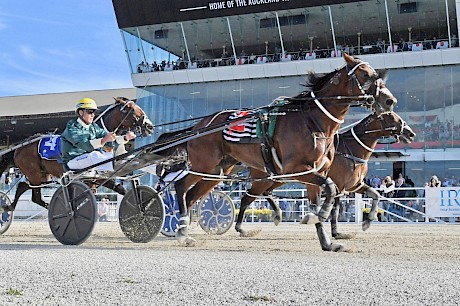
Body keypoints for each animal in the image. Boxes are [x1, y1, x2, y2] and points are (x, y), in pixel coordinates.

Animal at [0, 97, 155, 212]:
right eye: (133, 109)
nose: (150, 126)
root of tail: (19, 147)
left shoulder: (97, 177)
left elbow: (120, 188)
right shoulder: (93, 176)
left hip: (43, 175)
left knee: (23, 187)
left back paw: (9, 206)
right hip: (34, 174)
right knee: (34, 195)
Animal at [239, 111, 416, 250]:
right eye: (391, 116)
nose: (410, 133)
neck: (351, 150)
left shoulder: (353, 186)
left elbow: (375, 195)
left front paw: (365, 223)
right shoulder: (339, 186)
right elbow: (335, 211)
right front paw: (335, 233)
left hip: (279, 178)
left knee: (266, 193)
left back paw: (277, 215)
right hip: (264, 180)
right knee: (247, 198)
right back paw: (242, 229)